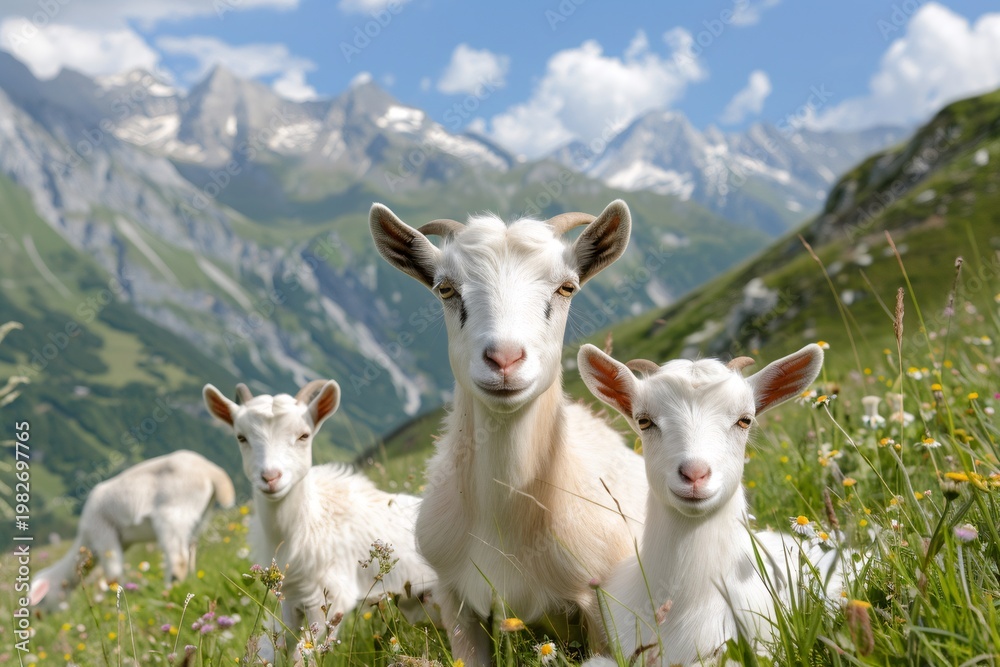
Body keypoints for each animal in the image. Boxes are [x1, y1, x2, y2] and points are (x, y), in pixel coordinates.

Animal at [30, 450, 235, 610]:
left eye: (41, 600)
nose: (38, 618)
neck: (86, 539)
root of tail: (212, 471)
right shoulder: (121, 542)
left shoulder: (103, 534)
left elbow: (113, 575)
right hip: (199, 517)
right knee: (191, 551)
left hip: (172, 515)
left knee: (178, 559)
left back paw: (168, 590)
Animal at [203, 380, 437, 658]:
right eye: (241, 437)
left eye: (304, 435)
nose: (270, 477)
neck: (309, 522)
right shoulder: (289, 598)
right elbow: (283, 647)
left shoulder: (329, 598)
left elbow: (304, 653)